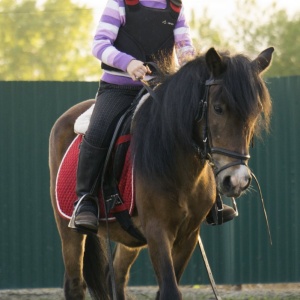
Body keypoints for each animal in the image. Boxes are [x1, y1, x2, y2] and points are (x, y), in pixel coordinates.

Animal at [49, 47, 274, 300]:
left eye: (255, 112)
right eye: (218, 108)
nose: (236, 180)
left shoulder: (189, 235)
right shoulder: (158, 231)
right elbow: (169, 290)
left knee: (116, 277)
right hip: (69, 229)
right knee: (74, 284)